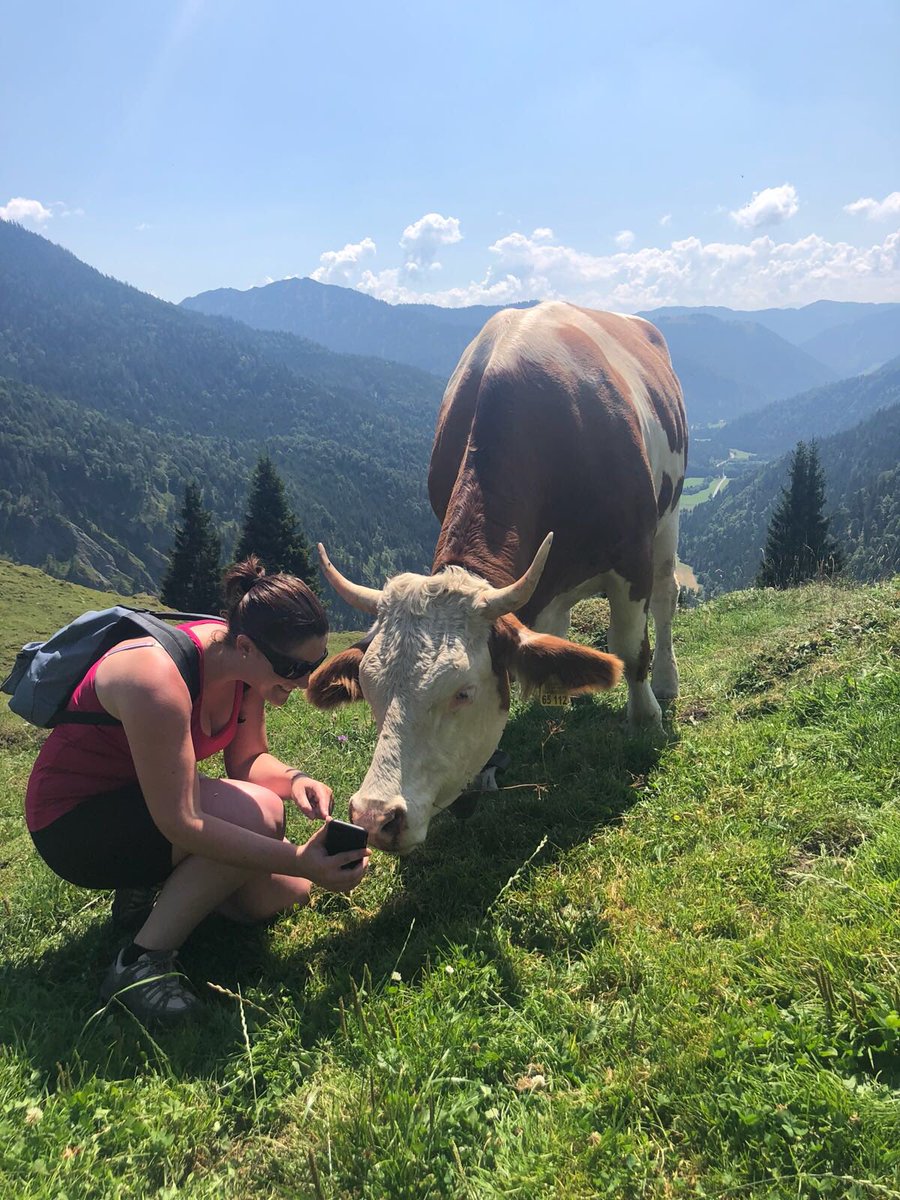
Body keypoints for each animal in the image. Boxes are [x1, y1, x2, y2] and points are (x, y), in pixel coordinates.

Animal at [308, 300, 688, 854]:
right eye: (369, 689)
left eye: (462, 692)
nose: (375, 815)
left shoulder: (631, 557)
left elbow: (626, 645)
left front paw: (645, 718)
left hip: (668, 520)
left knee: (664, 601)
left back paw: (666, 682)